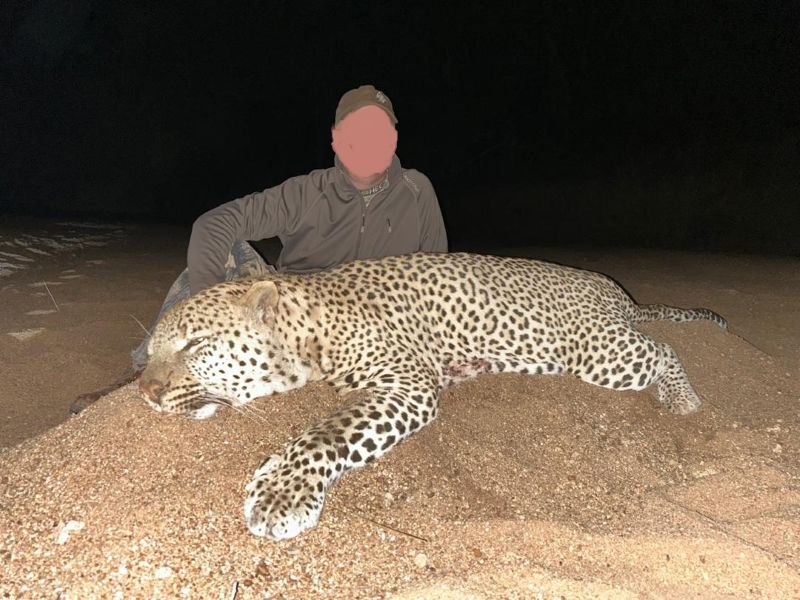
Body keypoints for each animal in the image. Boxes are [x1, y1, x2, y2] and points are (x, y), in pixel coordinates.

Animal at [139, 251, 727, 541]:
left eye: (194, 344)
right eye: (152, 348)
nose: (144, 391)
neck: (310, 327)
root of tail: (616, 292)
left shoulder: (408, 382)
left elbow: (325, 434)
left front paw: (282, 495)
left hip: (597, 354)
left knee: (663, 347)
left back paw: (683, 400)